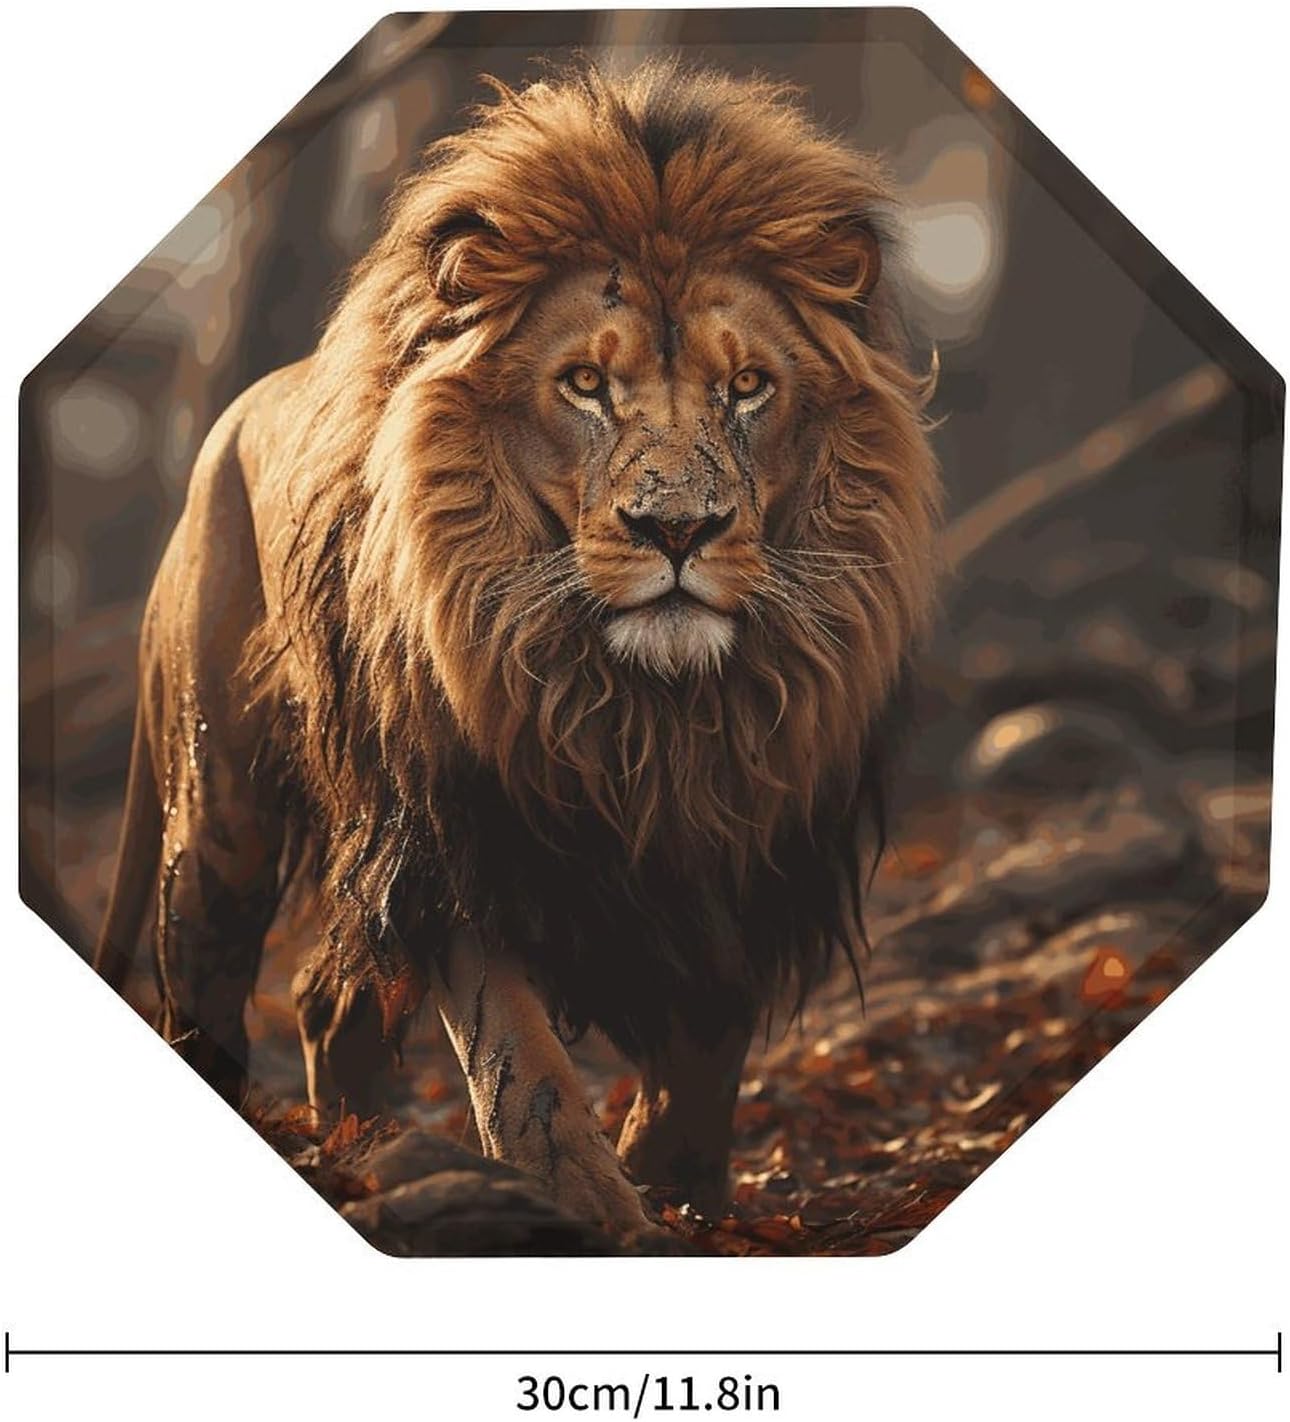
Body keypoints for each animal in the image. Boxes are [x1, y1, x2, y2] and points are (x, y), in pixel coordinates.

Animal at [94, 61, 940, 1236]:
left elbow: (708, 1040)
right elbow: (519, 1060)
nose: (679, 531)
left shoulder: (746, 831)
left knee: (321, 1001)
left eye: (748, 387)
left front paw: (683, 1193)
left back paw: (368, 1152)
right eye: (585, 384)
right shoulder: (459, 823)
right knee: (207, 977)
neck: (651, 713)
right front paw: (590, 1208)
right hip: (217, 807)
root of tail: (229, 425)